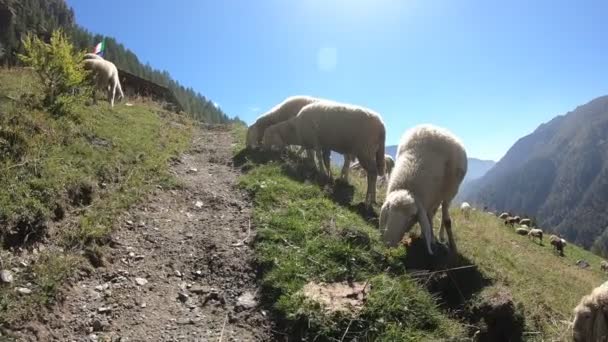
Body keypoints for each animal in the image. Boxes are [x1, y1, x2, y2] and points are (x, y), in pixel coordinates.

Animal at [378, 124, 468, 255]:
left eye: (411, 216)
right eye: (389, 210)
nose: (388, 242)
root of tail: (435, 128)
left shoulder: (447, 193)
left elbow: (447, 221)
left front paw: (452, 247)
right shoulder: (429, 198)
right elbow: (428, 216)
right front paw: (428, 238)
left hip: (448, 192)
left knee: (443, 215)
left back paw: (441, 236)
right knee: (432, 213)